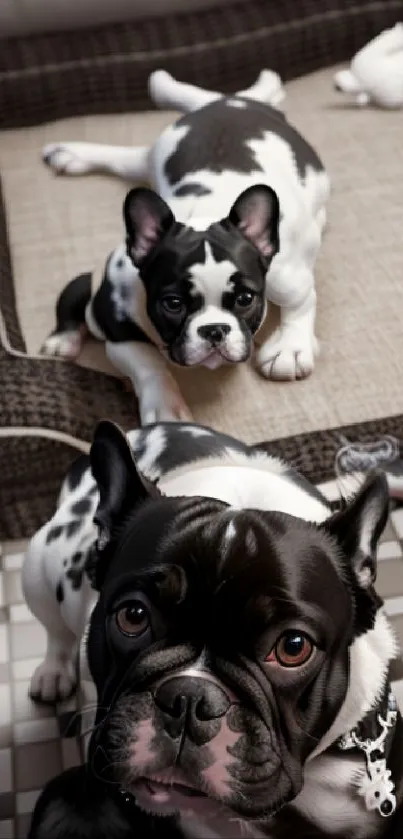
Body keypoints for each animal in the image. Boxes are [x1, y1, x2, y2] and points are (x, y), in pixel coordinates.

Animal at [23, 424, 402, 836]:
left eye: (293, 646)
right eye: (133, 616)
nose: (189, 697)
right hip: (38, 568)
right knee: (56, 632)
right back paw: (53, 673)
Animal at [41, 67, 332, 420]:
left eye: (245, 299)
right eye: (173, 304)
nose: (214, 330)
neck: (202, 213)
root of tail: (231, 101)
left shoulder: (284, 276)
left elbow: (300, 300)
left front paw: (291, 347)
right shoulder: (117, 323)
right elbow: (146, 363)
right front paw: (164, 405)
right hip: (155, 154)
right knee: (129, 159)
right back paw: (72, 154)